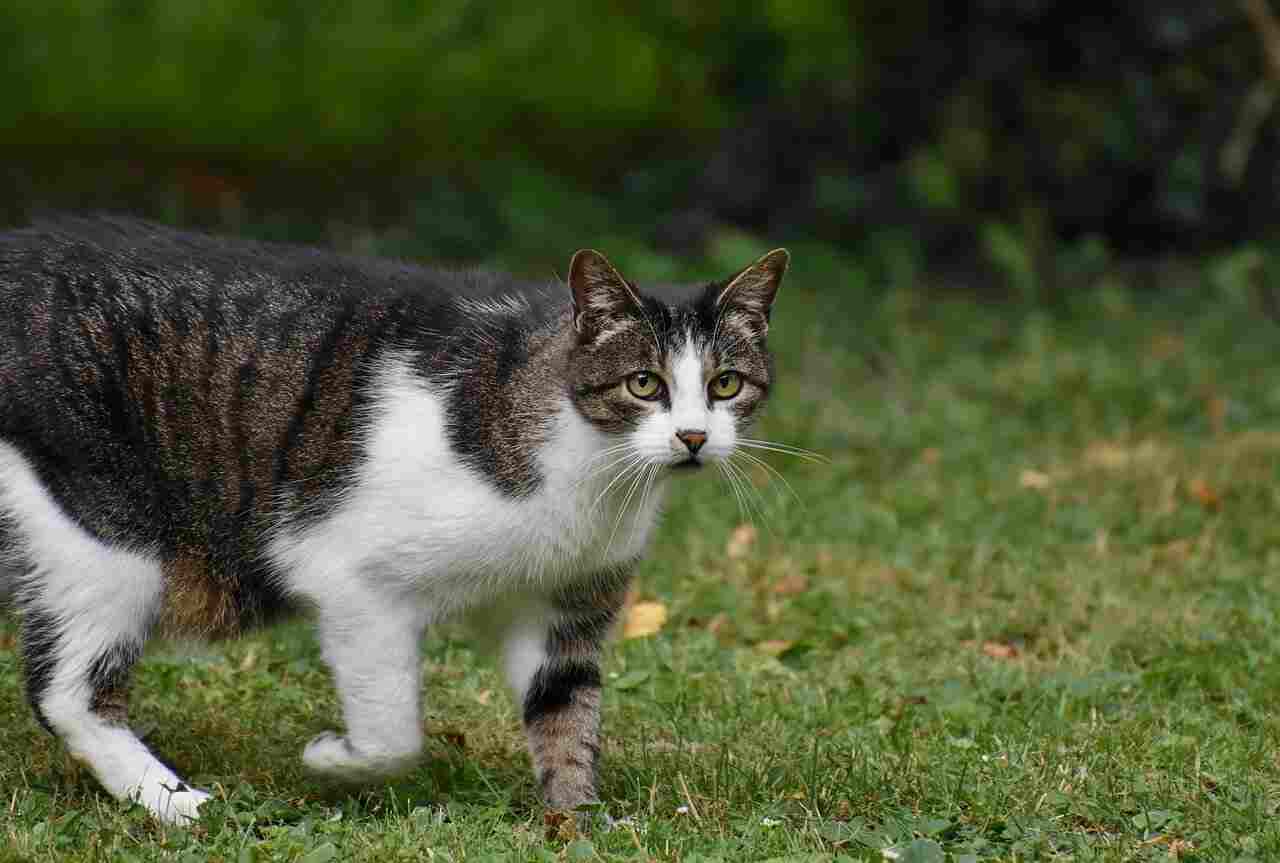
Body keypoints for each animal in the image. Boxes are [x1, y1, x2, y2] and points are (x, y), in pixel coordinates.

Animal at [0, 215, 788, 819]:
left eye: (726, 384)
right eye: (644, 384)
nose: (693, 437)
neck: (589, 471)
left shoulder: (564, 607)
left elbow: (567, 716)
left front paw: (576, 821)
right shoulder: (352, 579)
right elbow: (393, 734)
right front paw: (331, 759)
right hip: (105, 533)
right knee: (66, 692)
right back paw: (174, 802)